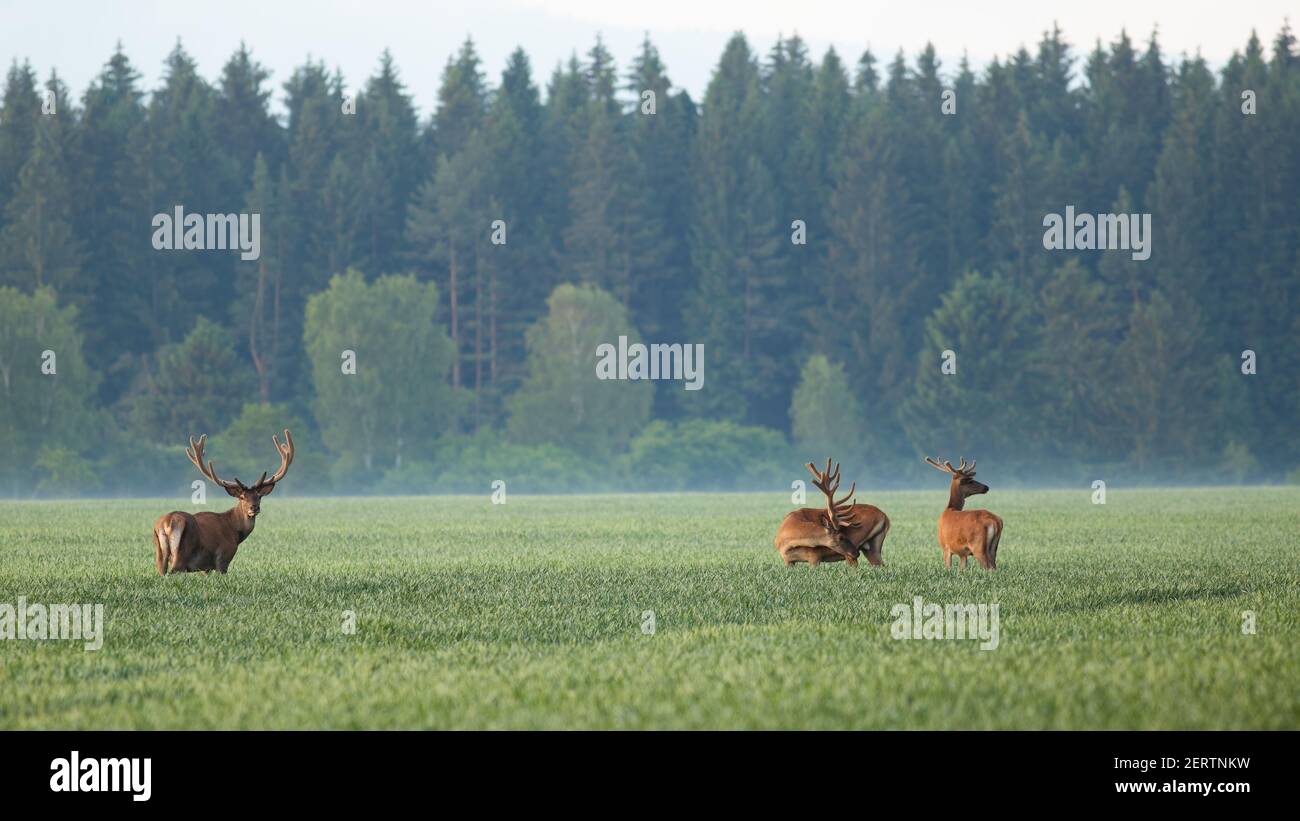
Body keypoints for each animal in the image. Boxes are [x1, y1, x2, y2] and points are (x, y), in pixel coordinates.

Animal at [152, 428, 295, 576]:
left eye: (259, 496)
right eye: (242, 496)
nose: (254, 508)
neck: (234, 532)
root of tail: (168, 523)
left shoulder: (206, 567)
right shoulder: (223, 557)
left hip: (159, 553)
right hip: (182, 553)